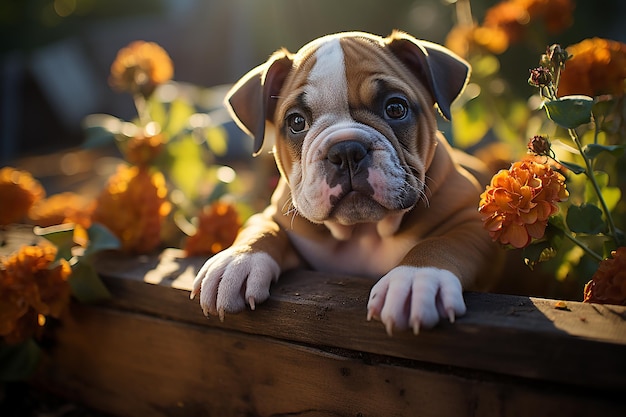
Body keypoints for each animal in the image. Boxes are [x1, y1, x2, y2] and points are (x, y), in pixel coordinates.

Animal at [190, 30, 498, 334]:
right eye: (296, 122)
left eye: (395, 108)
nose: (347, 150)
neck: (362, 231)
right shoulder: (274, 216)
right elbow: (261, 228)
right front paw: (236, 261)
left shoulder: (473, 223)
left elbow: (441, 243)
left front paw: (415, 280)